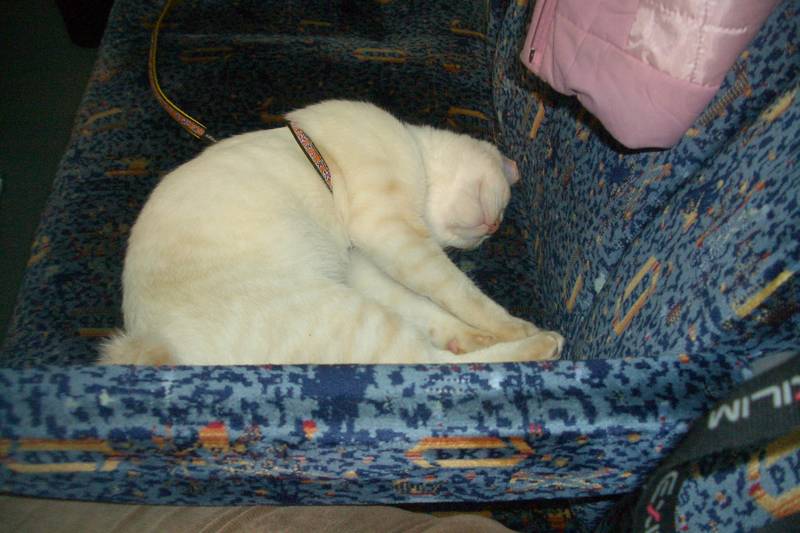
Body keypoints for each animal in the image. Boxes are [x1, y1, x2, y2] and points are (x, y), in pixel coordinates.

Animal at [99, 100, 564, 365]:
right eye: (502, 208)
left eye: (489, 234)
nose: (493, 227)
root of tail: (153, 343)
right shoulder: (390, 230)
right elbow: (461, 292)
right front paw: (514, 326)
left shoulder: (364, 265)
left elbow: (429, 306)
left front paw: (472, 335)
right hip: (349, 316)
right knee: (429, 364)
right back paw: (543, 343)